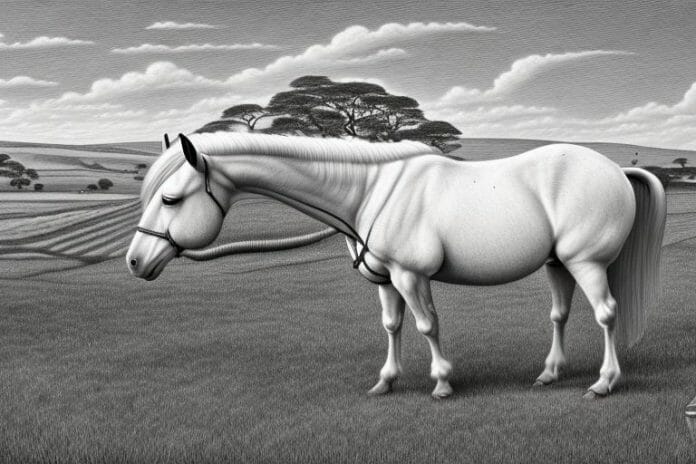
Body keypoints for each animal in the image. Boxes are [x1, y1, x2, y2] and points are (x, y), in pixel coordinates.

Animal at [127, 132, 666, 399]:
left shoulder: (411, 275)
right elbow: (392, 326)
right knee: (560, 315)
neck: (370, 190)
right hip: (558, 263)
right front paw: (385, 382)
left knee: (606, 314)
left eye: (171, 199)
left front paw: (442, 383)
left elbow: (427, 325)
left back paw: (603, 383)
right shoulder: (386, 279)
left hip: (586, 262)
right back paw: (550, 374)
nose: (135, 261)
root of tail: (616, 170)